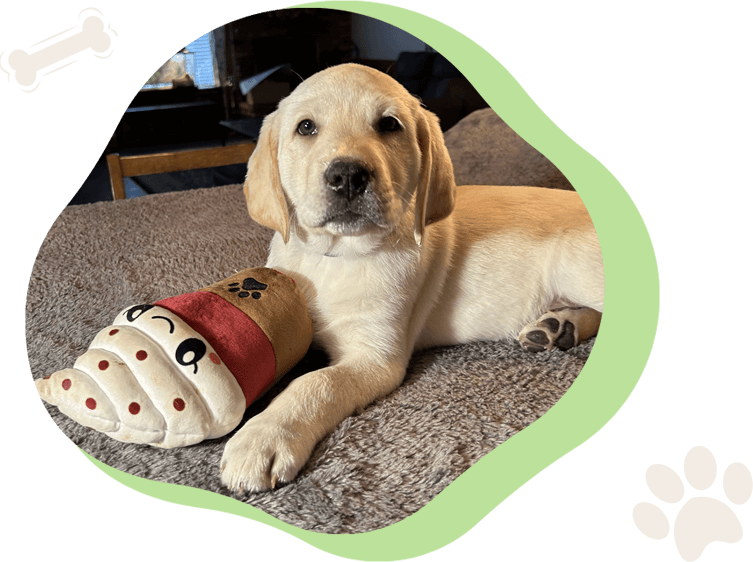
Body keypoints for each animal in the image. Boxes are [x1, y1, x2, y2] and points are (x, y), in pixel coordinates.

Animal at [219, 62, 604, 490]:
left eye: (389, 125)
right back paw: (558, 326)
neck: (338, 257)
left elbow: (315, 382)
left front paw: (264, 436)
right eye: (305, 127)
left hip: (575, 265)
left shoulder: (376, 357)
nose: (348, 175)